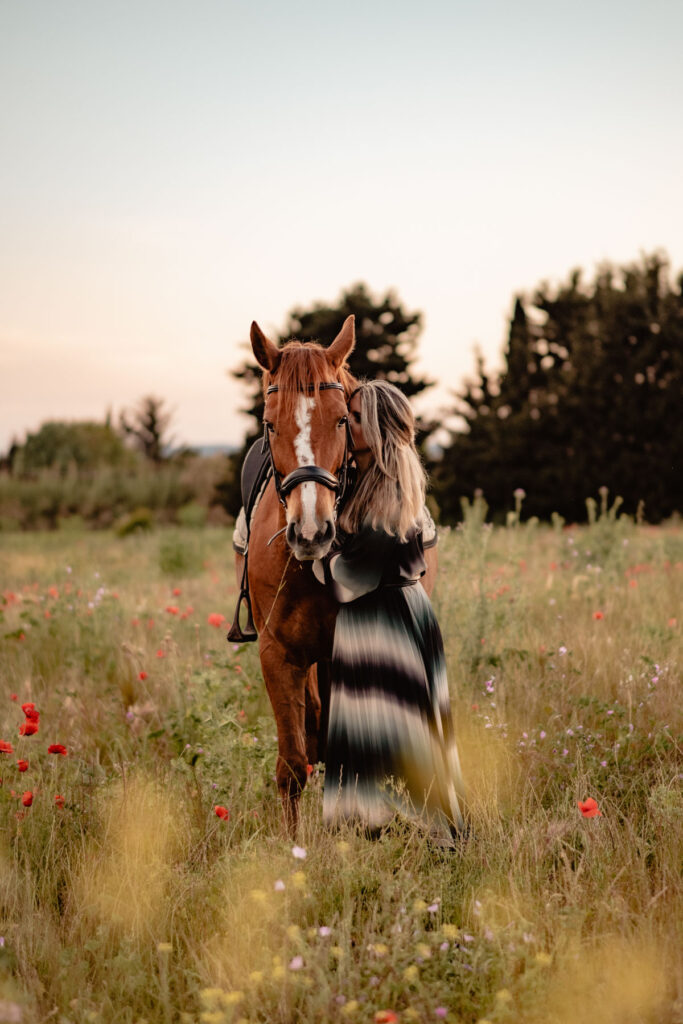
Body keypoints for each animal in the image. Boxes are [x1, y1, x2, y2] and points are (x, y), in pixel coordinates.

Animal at [235, 314, 437, 833]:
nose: (311, 530)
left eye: (342, 419)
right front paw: (293, 846)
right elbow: (292, 764)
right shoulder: (277, 655)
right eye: (270, 424)